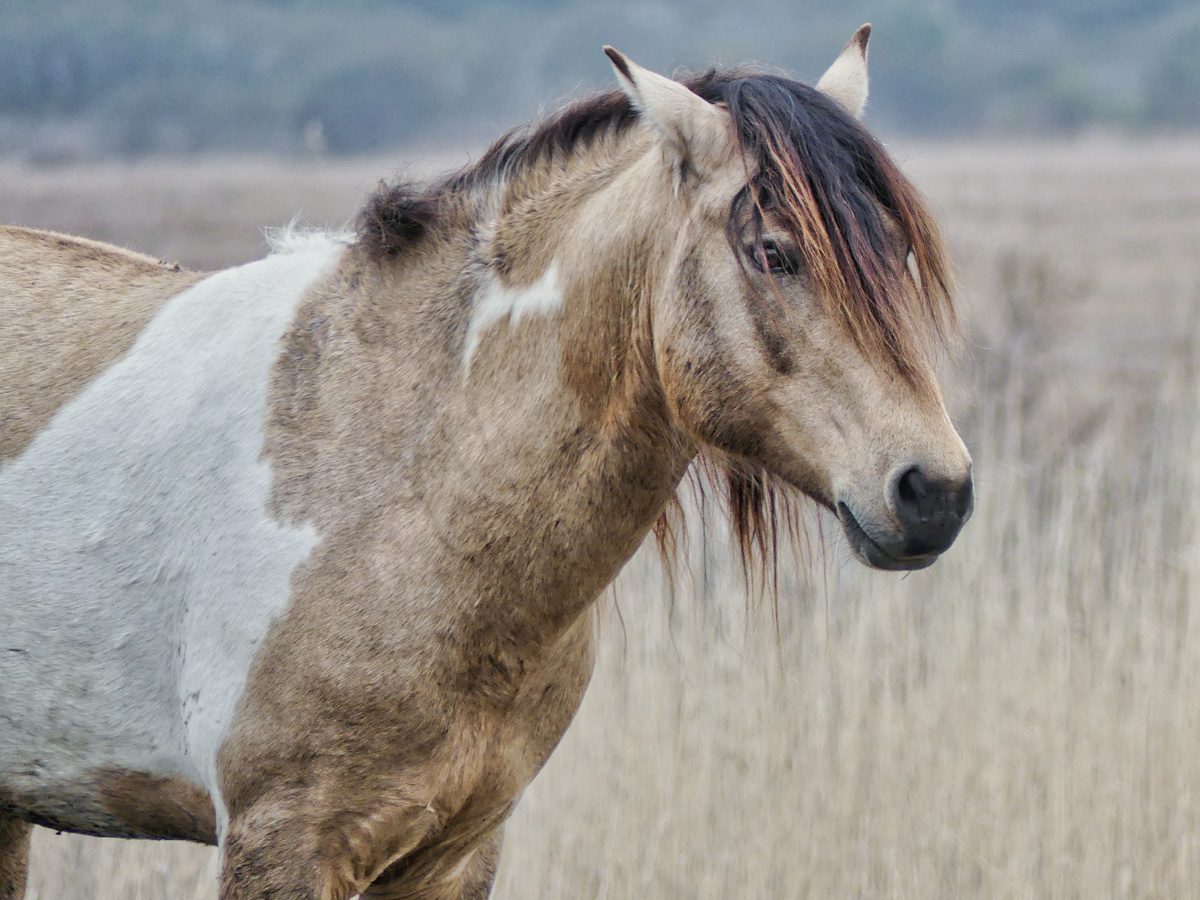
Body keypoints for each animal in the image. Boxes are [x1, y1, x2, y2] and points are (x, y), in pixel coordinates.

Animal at [0, 28, 969, 900]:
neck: (400, 487)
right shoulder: (284, 842)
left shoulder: (455, 853)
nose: (936, 493)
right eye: (774, 252)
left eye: (900, 251)